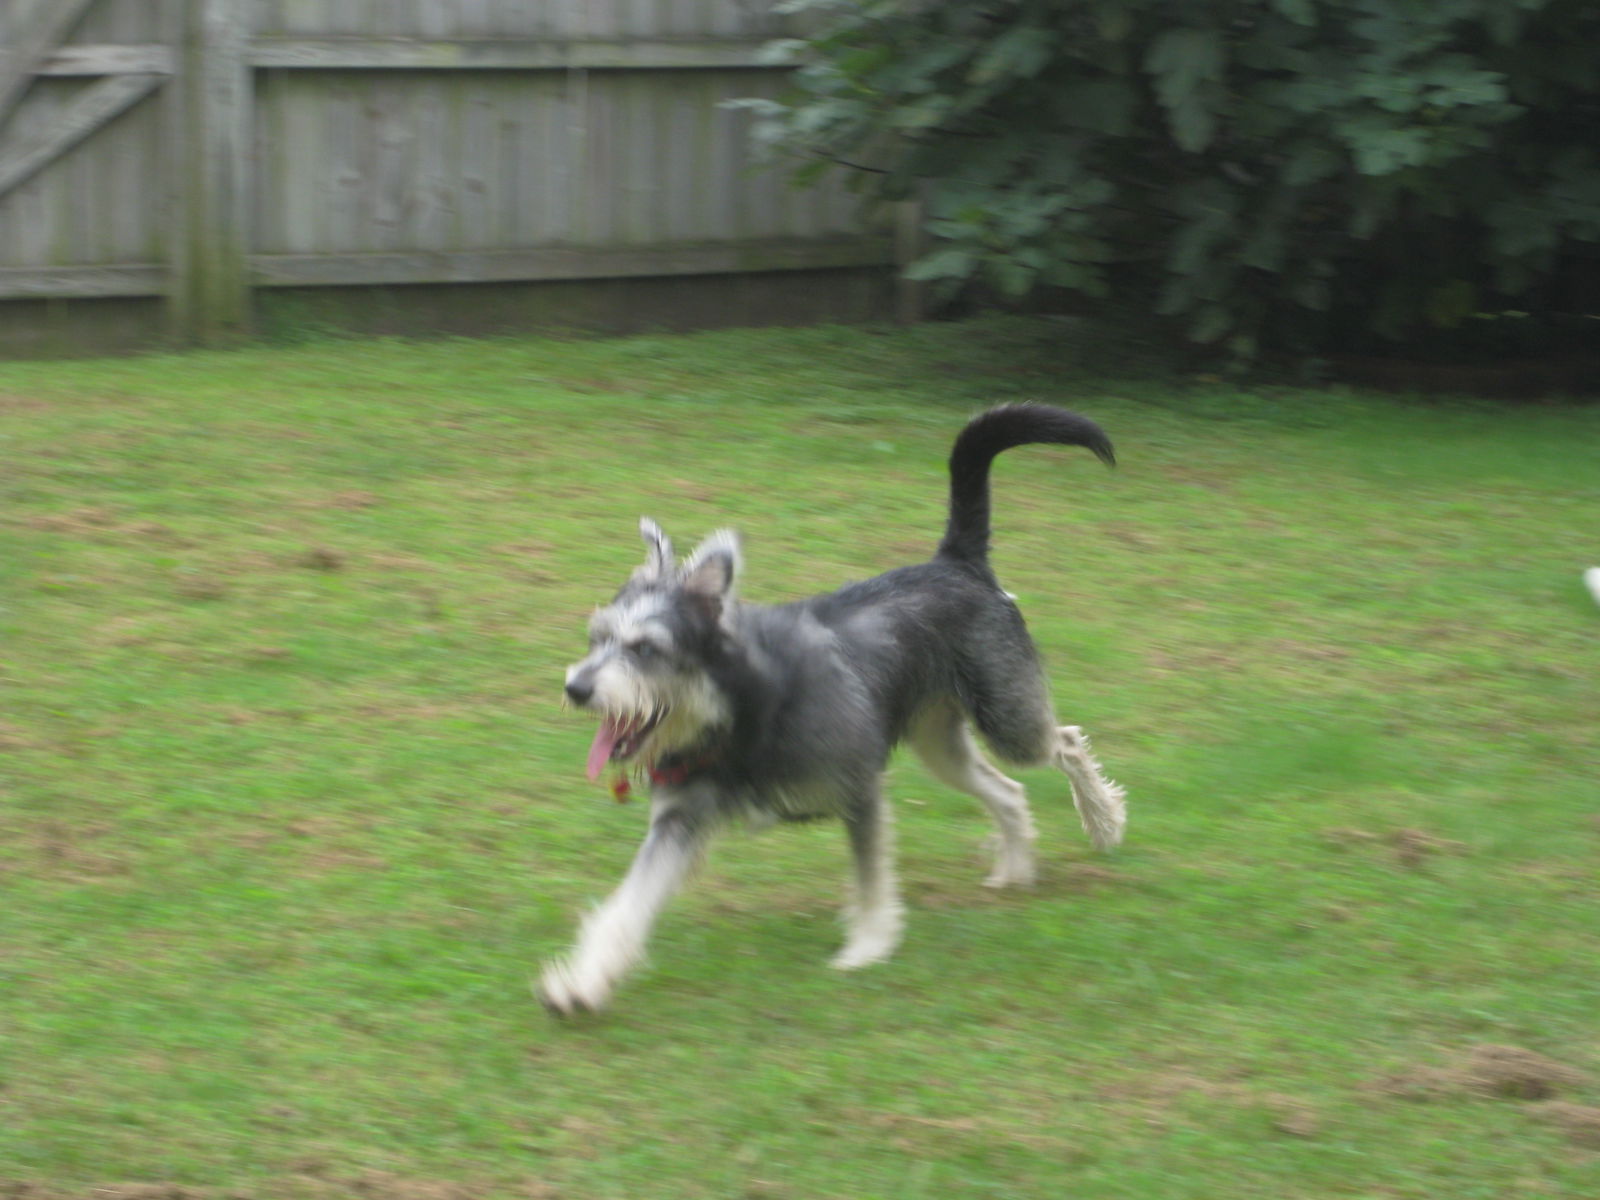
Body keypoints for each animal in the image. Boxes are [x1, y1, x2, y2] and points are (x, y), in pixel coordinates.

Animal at [544, 404, 1132, 1017]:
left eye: (645, 649)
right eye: (596, 638)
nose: (576, 688)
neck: (746, 709)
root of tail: (959, 563)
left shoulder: (858, 789)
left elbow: (871, 877)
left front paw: (867, 948)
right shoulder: (679, 820)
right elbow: (628, 903)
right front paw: (581, 981)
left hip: (1008, 720)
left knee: (1064, 741)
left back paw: (1104, 821)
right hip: (941, 746)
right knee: (1009, 791)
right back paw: (1015, 868)